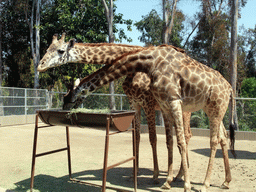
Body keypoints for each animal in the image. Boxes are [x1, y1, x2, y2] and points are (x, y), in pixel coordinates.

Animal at [37, 33, 236, 191]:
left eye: (60, 51)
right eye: (47, 48)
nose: (40, 65)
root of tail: (230, 87)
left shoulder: (151, 103)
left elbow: (155, 138)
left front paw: (156, 176)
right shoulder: (138, 104)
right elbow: (142, 137)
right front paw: (138, 172)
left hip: (193, 109)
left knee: (192, 137)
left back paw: (192, 180)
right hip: (211, 109)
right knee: (222, 136)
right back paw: (224, 180)